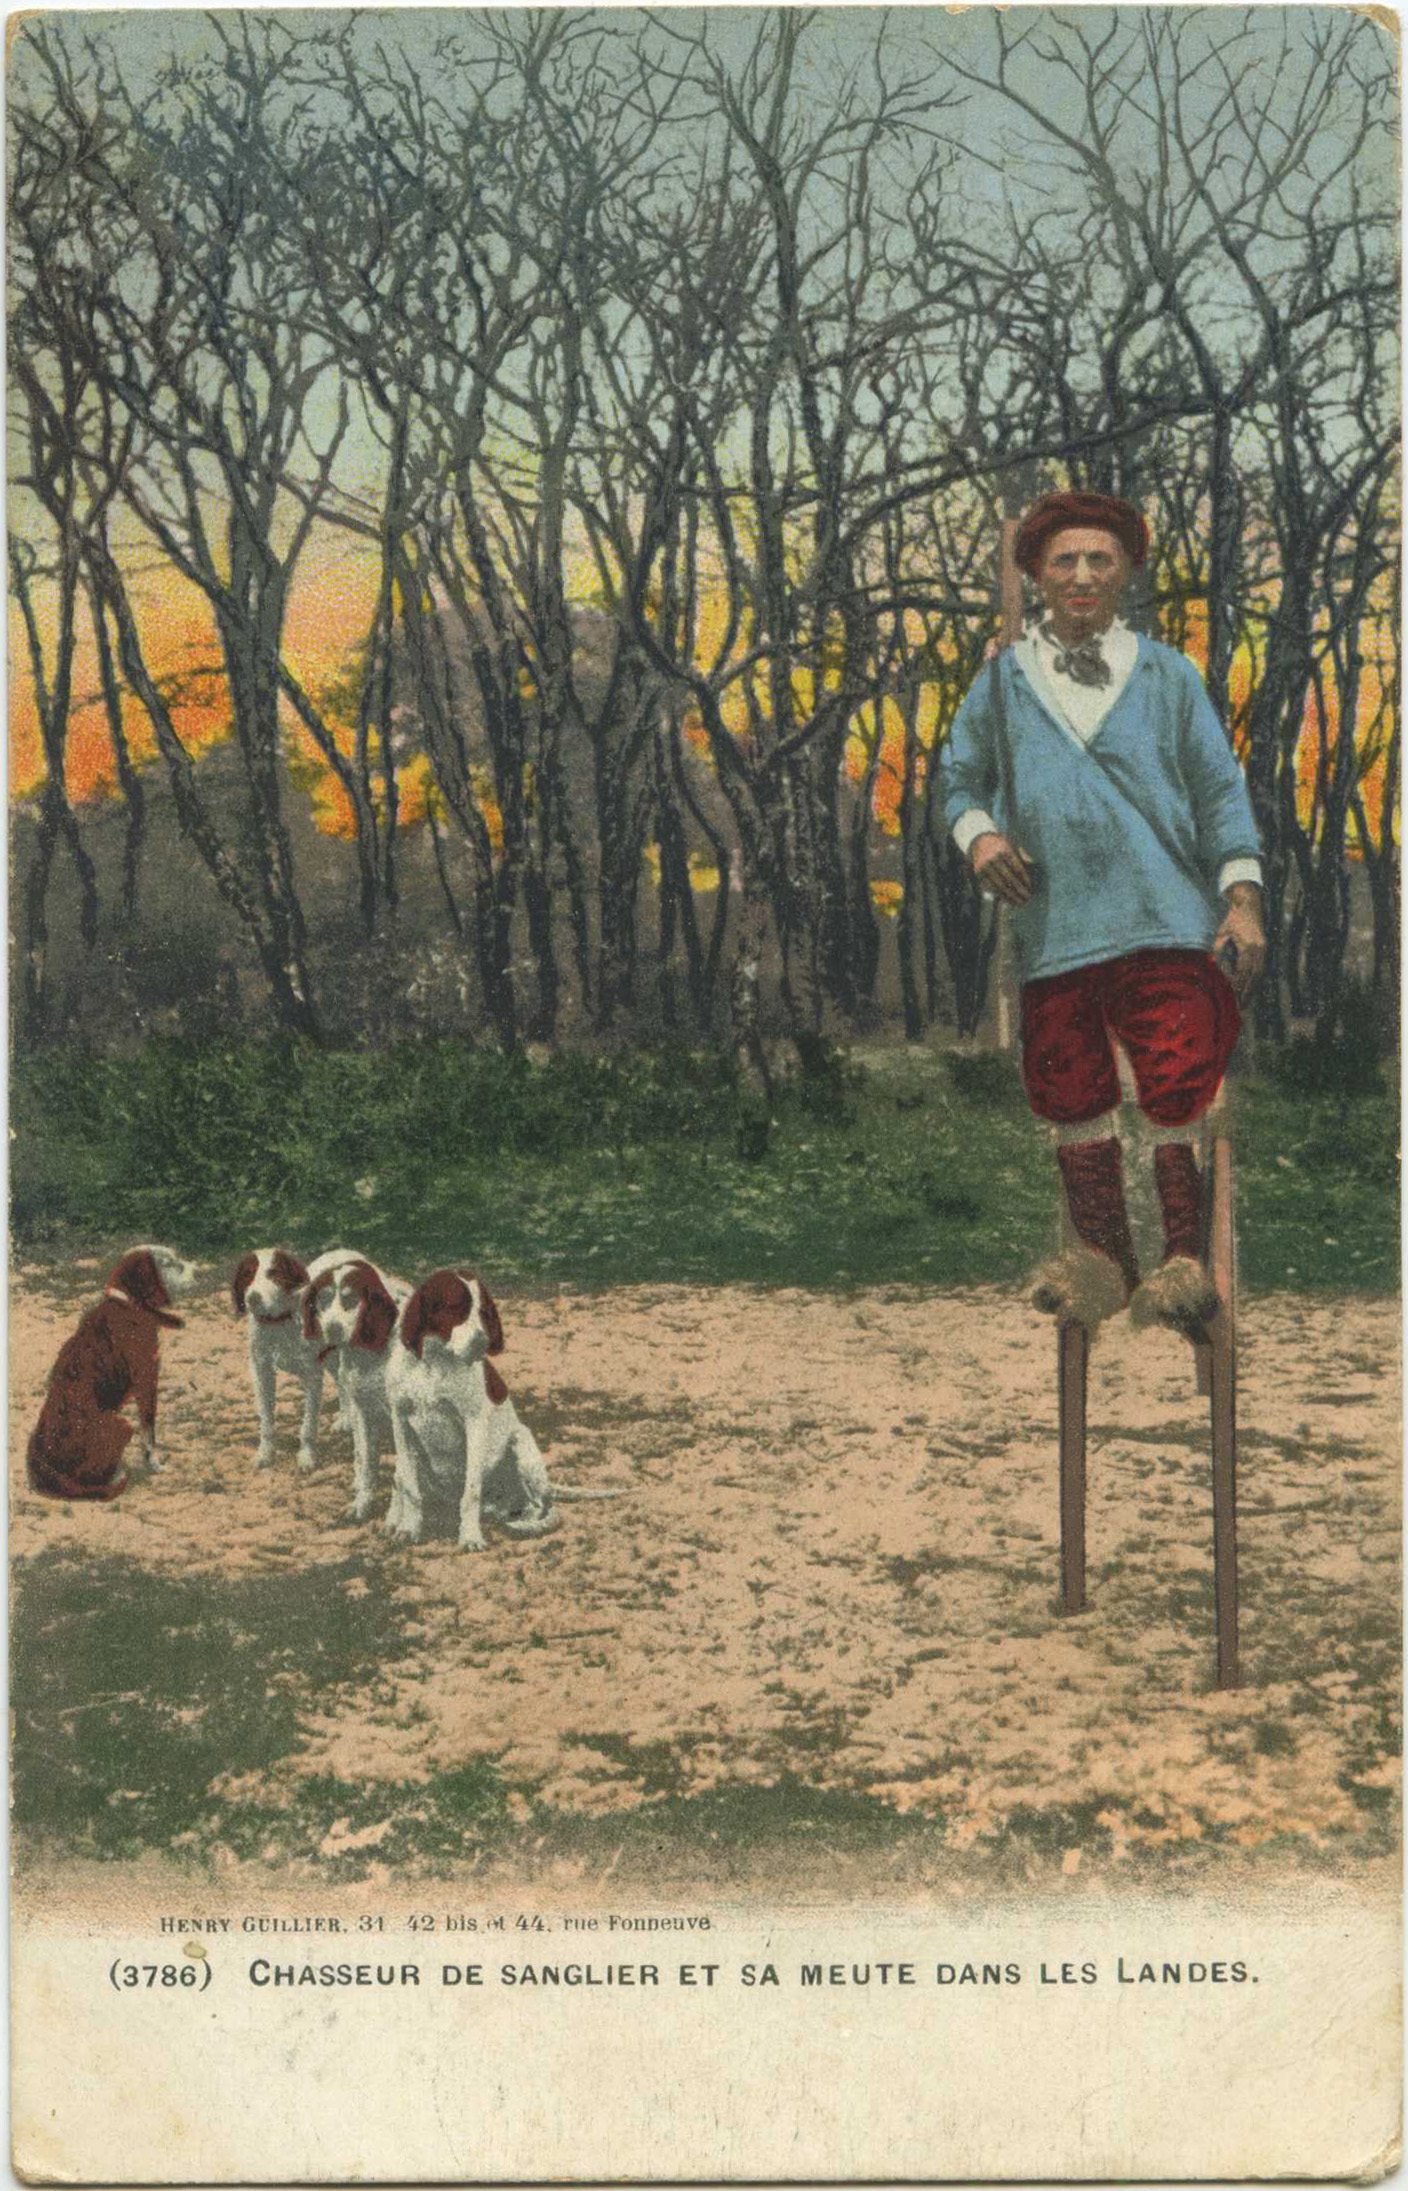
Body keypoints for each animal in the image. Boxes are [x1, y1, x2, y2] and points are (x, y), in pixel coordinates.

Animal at [28, 1244, 198, 1498]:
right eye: (170, 1263)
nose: (198, 1271)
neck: (128, 1305)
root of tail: (41, 1459)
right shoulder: (147, 1381)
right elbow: (149, 1433)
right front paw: (154, 1464)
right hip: (121, 1423)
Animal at [233, 1253, 365, 1472]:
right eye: (247, 1275)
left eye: (274, 1273)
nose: (252, 1298)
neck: (280, 1323)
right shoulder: (262, 1373)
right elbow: (267, 1422)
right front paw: (265, 1454)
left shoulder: (312, 1376)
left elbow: (308, 1426)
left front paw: (306, 1456)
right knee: (341, 1384)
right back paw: (345, 1418)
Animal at [297, 1253, 407, 1524]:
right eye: (324, 1298)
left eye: (351, 1299)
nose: (332, 1328)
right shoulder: (364, 1413)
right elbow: (366, 1462)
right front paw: (362, 1504)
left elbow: (401, 1476)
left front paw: (395, 1517)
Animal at [385, 1270, 626, 1559]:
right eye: (454, 1307)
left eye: (483, 1311)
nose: (481, 1342)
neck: (432, 1362)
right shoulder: (400, 1422)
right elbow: (409, 1487)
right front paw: (409, 1528)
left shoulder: (473, 1424)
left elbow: (471, 1493)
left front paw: (470, 1537)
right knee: (401, 1480)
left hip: (522, 1447)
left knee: (542, 1504)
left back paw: (528, 1522)